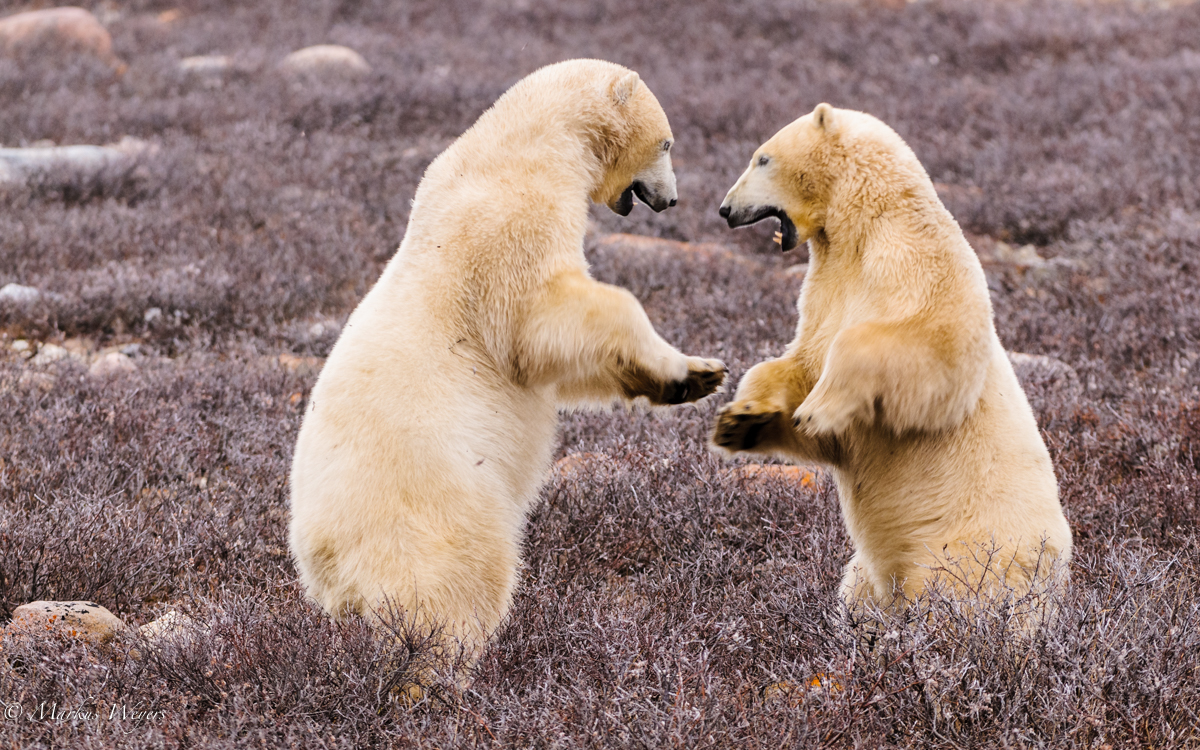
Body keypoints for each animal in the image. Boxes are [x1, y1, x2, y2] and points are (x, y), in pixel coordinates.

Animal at [286, 58, 724, 652]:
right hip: (434, 509)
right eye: (668, 142)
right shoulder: (511, 223)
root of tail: (325, 566)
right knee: (459, 582)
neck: (522, 148)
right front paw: (686, 370)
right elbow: (542, 321)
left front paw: (698, 374)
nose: (671, 199)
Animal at [710, 103, 1070, 609]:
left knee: (956, 595)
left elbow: (931, 351)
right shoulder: (825, 288)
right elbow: (803, 362)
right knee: (857, 592)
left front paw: (818, 409)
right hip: (869, 573)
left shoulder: (914, 262)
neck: (864, 227)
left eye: (762, 158)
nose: (725, 209)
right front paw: (742, 418)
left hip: (972, 550)